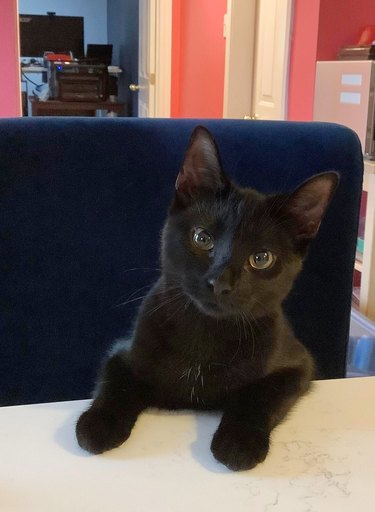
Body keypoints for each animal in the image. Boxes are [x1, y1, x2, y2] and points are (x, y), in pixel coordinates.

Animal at [76, 126, 340, 470]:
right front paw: (98, 424)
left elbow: (260, 395)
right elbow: (116, 382)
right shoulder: (122, 352)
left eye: (261, 258)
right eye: (202, 238)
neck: (205, 333)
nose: (220, 283)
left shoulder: (298, 364)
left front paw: (239, 441)